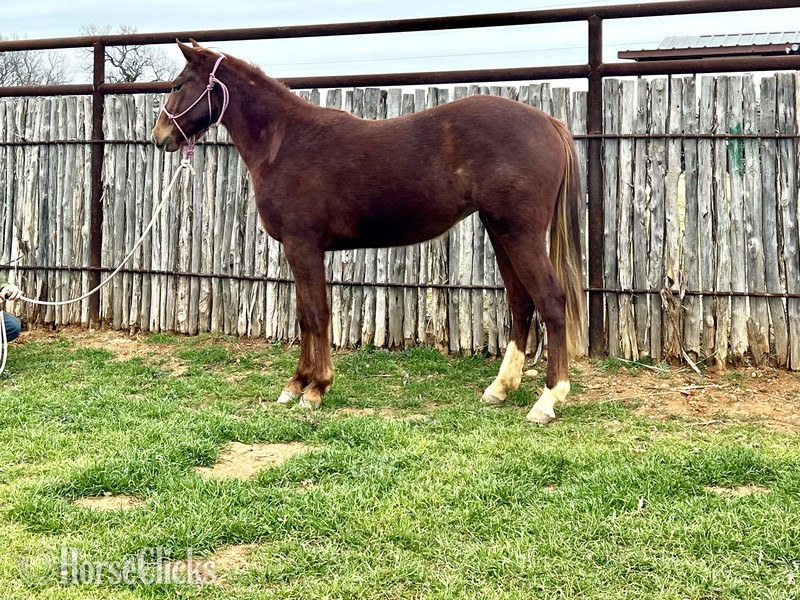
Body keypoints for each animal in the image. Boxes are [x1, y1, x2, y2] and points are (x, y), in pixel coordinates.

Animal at [152, 40, 585, 424]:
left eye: (177, 85)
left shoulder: (302, 246)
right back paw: (500, 387)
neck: (283, 142)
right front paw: (295, 385)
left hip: (521, 234)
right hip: (500, 231)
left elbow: (316, 313)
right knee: (521, 302)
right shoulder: (299, 251)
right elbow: (303, 315)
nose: (159, 137)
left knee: (550, 300)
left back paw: (548, 400)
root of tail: (549, 123)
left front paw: (315, 389)